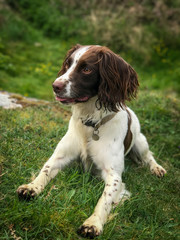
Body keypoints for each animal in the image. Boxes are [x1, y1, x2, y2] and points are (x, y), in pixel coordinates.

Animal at [17, 44, 167, 238]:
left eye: (87, 69)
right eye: (68, 65)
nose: (55, 86)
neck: (91, 123)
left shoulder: (113, 175)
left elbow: (105, 199)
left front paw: (92, 223)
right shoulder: (60, 156)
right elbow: (45, 170)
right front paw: (31, 187)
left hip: (140, 142)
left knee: (149, 156)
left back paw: (157, 169)